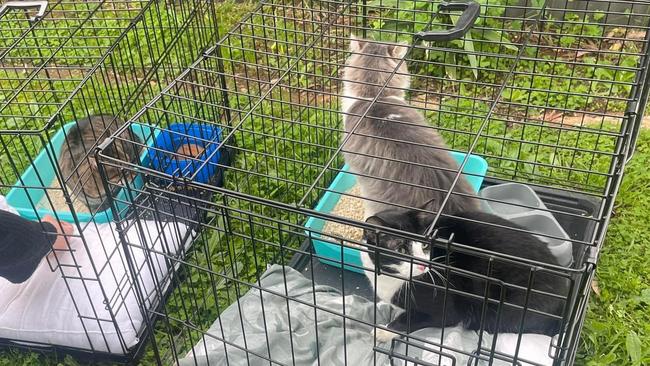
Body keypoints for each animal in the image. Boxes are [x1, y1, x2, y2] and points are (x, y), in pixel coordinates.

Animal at [360, 210, 568, 342]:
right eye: (401, 249)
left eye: (426, 246)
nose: (422, 265)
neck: (391, 278)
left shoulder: (446, 306)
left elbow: (414, 318)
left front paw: (384, 331)